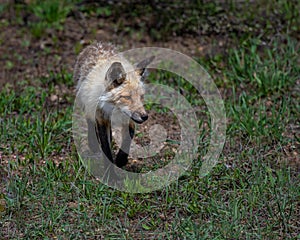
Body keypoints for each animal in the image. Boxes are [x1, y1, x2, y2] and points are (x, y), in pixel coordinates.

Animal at [73, 41, 155, 169]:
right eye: (127, 97)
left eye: (141, 96)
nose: (144, 117)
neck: (115, 111)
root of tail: (97, 43)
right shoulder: (101, 119)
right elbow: (106, 150)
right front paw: (110, 173)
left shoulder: (128, 119)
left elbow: (127, 140)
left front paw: (121, 160)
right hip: (86, 103)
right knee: (89, 121)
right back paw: (93, 144)